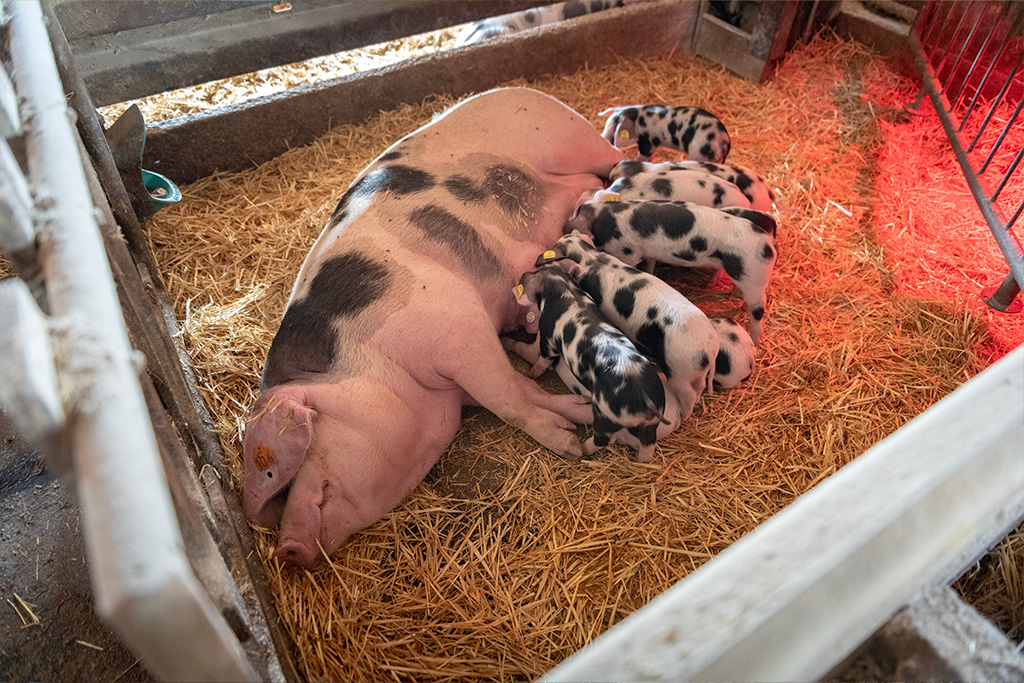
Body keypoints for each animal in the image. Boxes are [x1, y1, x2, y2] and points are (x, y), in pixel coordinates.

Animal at [242, 88, 625, 568]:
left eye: (290, 473)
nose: (287, 551)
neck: (372, 362)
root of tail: (528, 91)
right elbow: (522, 390)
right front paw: (579, 415)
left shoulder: (458, 324)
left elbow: (508, 401)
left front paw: (569, 446)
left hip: (571, 139)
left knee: (616, 156)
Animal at [513, 261, 669, 462]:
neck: (563, 286)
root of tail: (645, 398)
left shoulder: (549, 337)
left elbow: (544, 358)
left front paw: (531, 374)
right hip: (652, 420)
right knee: (648, 442)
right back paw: (642, 462)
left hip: (607, 415)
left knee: (605, 439)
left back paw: (583, 449)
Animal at [537, 232, 717, 424]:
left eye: (555, 246)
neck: (589, 257)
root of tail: (709, 348)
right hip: (696, 372)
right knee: (700, 387)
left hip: (680, 372)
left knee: (688, 395)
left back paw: (684, 416)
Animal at [564, 198, 777, 343]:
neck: (604, 216)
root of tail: (770, 245)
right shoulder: (648, 252)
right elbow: (650, 264)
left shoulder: (627, 251)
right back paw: (725, 293)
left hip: (755, 277)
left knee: (758, 312)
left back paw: (755, 339)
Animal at [600, 105, 731, 163]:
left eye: (613, 129)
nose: (602, 138)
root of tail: (723, 140)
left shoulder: (648, 143)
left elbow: (643, 156)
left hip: (698, 154)